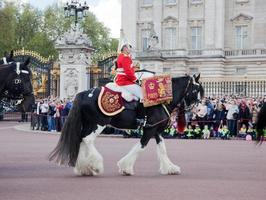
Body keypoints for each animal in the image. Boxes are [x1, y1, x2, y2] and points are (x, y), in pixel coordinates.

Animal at [49, 74, 204, 176]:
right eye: (195, 90)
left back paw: (84, 168)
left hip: (90, 123)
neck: (160, 100)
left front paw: (170, 168)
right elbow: (140, 147)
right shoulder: (150, 129)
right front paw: (126, 168)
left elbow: (162, 149)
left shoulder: (156, 130)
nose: (200, 111)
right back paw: (96, 165)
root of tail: (84, 93)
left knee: (82, 139)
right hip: (99, 123)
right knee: (87, 140)